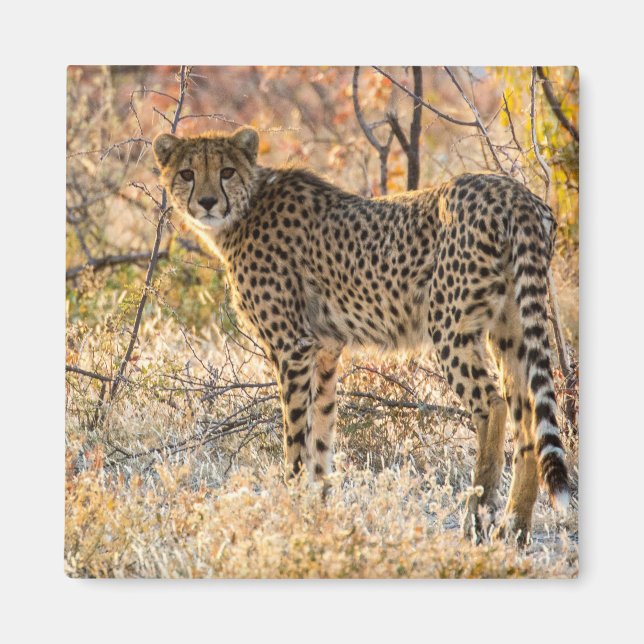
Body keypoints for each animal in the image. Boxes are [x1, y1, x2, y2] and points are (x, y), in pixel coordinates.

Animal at [153, 125, 569, 544]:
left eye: (226, 171)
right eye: (188, 173)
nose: (207, 202)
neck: (246, 207)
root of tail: (512, 191)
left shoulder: (291, 347)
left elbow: (295, 438)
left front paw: (291, 508)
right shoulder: (324, 349)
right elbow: (321, 434)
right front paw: (319, 513)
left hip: (450, 325)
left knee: (493, 404)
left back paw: (477, 518)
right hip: (510, 327)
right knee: (527, 415)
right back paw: (515, 527)